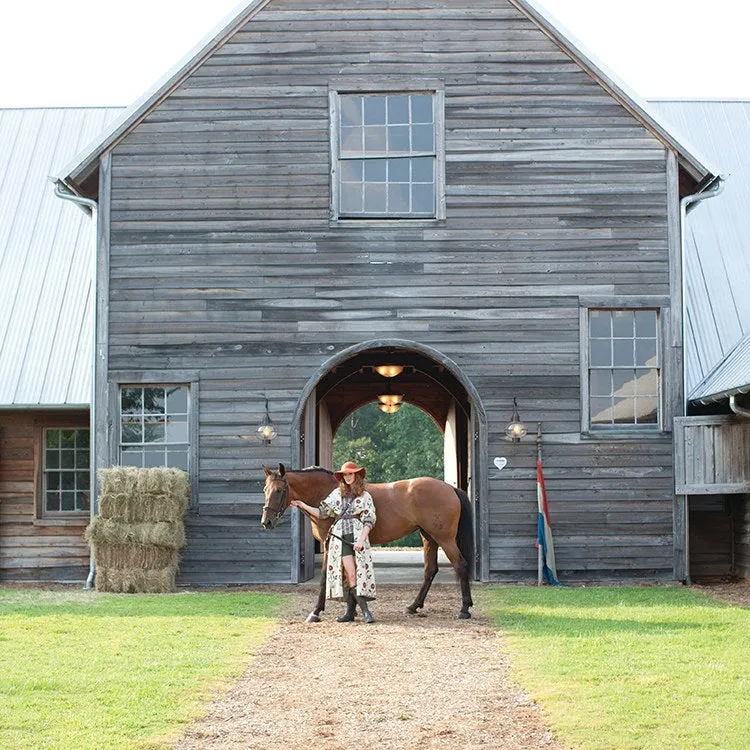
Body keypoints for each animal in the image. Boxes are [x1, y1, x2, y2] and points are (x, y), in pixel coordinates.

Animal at [262, 464, 476, 624]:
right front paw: (352, 611)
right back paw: (413, 606)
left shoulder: (330, 543)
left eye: (279, 490)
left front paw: (316, 612)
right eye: (265, 489)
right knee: (430, 570)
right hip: (429, 538)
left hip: (445, 539)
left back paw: (464, 609)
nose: (267, 522)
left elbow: (324, 578)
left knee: (461, 565)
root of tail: (450, 488)